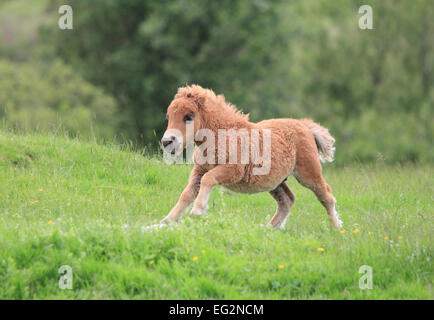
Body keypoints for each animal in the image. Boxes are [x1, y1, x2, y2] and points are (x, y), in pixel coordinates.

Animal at [159, 85, 342, 230]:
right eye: (168, 117)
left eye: (189, 116)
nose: (167, 142)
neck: (221, 135)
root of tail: (304, 126)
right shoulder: (199, 172)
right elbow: (186, 194)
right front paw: (166, 221)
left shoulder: (234, 171)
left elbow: (208, 179)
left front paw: (197, 210)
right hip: (275, 182)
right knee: (287, 200)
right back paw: (268, 229)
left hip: (308, 173)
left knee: (326, 195)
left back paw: (337, 228)